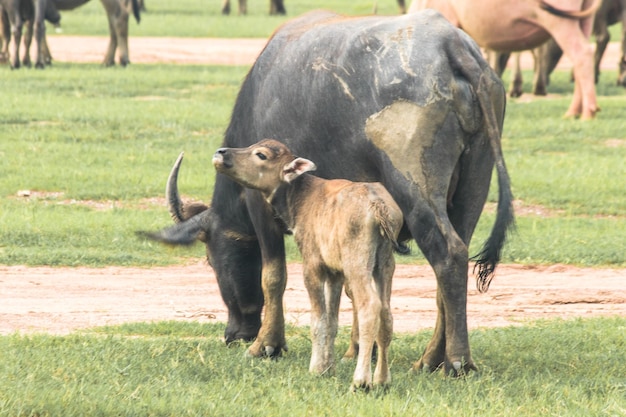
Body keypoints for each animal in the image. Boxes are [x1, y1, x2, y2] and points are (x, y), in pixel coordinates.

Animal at [211, 139, 404, 390]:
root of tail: (378, 207)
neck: (298, 203)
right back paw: (382, 379)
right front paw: (329, 367)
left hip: (357, 262)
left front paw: (317, 368)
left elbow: (318, 321)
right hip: (385, 264)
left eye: (261, 155)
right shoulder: (334, 273)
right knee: (386, 313)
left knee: (369, 306)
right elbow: (331, 321)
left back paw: (361, 381)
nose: (221, 153)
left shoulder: (313, 266)